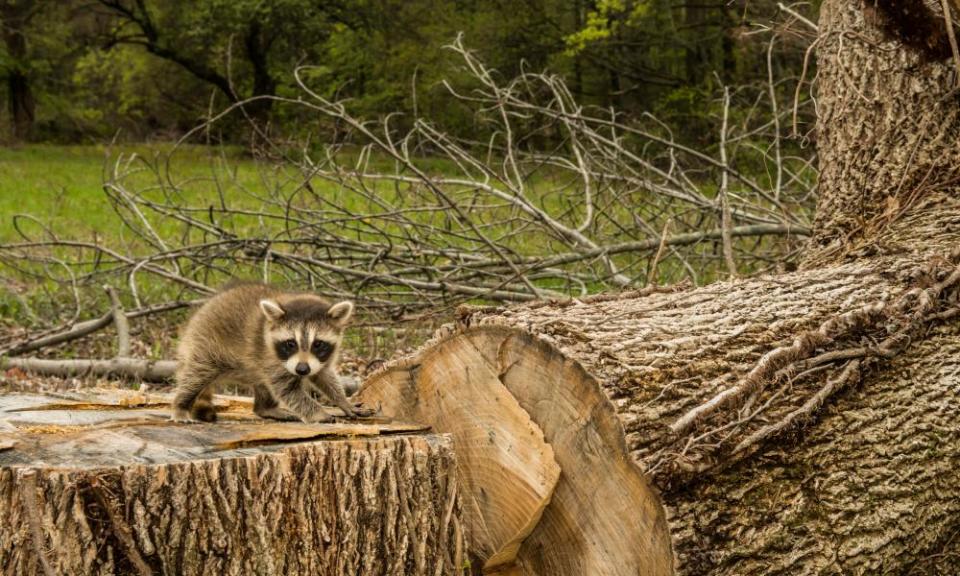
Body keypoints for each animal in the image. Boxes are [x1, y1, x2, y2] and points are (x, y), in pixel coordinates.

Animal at [171, 282, 374, 424]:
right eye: (291, 343)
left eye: (318, 344)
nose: (302, 370)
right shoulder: (269, 357)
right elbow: (289, 391)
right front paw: (319, 413)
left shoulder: (320, 360)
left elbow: (325, 377)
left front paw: (343, 401)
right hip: (205, 345)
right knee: (195, 376)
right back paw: (181, 405)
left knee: (262, 384)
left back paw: (266, 408)